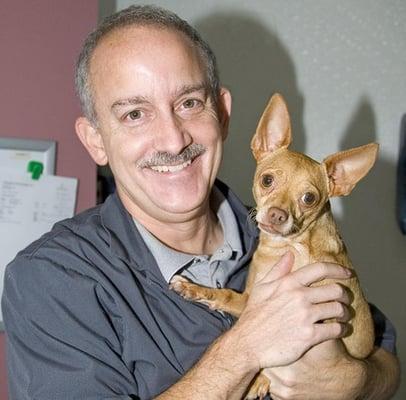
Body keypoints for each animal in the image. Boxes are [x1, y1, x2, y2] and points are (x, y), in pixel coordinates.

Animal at [170, 93, 376, 396]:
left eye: (309, 198)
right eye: (267, 180)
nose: (278, 214)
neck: (288, 249)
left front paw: (260, 378)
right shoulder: (251, 301)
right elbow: (225, 295)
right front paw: (192, 288)